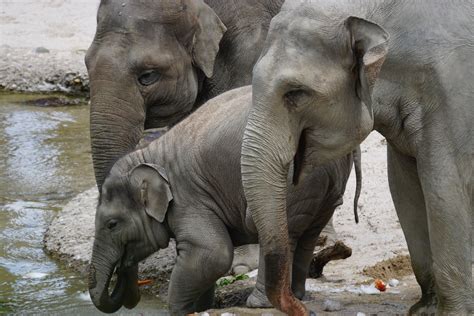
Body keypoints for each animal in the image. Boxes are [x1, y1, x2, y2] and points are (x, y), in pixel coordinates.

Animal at [88, 85, 356, 314]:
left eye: (112, 224)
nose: (123, 266)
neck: (148, 153)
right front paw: (202, 307)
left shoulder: (189, 198)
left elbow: (212, 253)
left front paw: (178, 311)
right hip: (324, 187)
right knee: (308, 234)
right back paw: (298, 295)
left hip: (286, 182)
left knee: (280, 231)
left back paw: (260, 303)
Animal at [241, 1, 474, 314]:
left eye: (296, 92)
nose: (303, 307)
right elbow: (404, 188)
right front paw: (424, 309)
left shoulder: (453, 89)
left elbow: (444, 186)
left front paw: (453, 312)